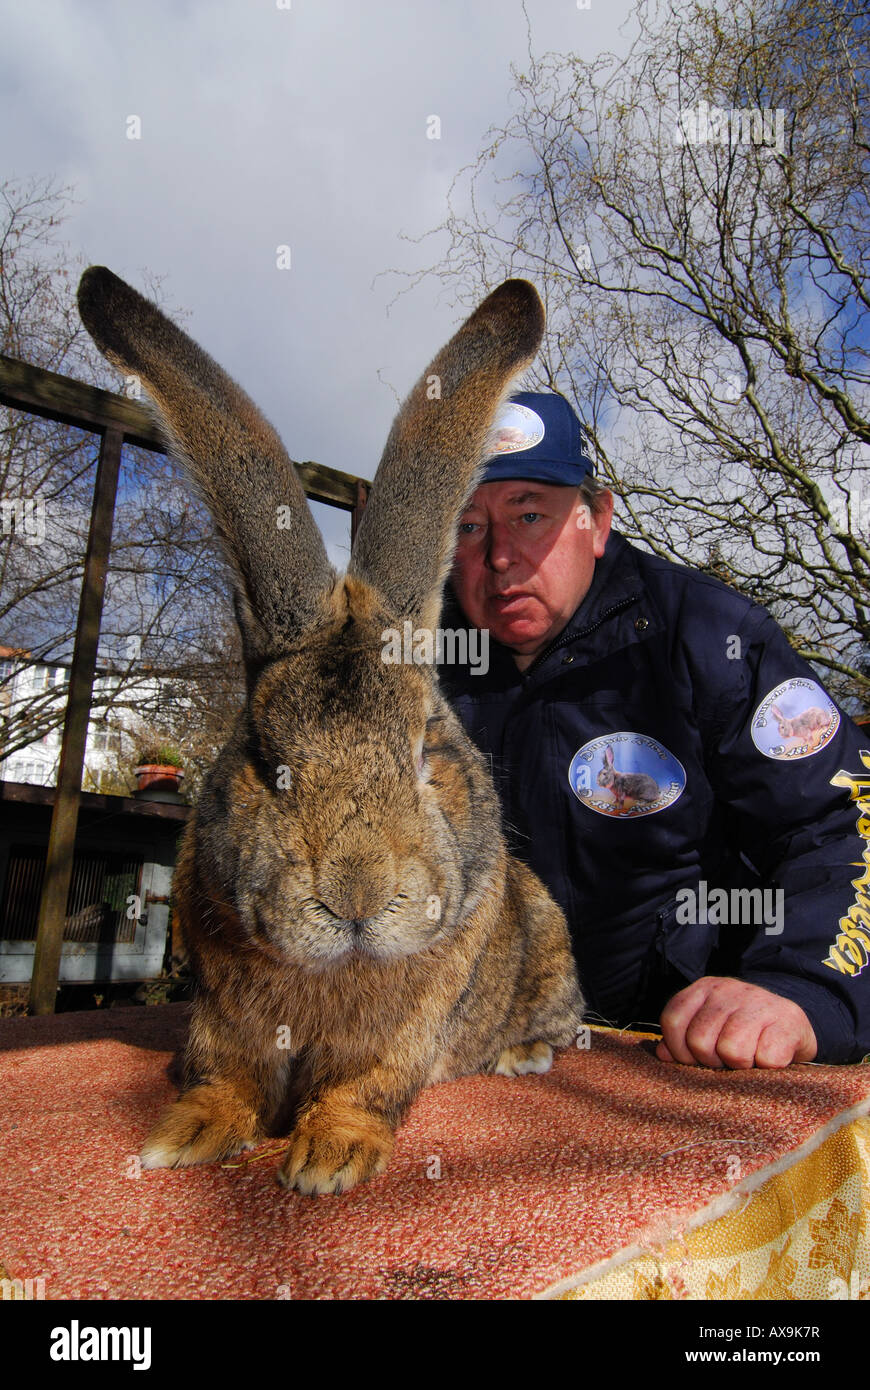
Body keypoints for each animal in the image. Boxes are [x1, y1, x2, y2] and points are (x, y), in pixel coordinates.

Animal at [76, 266, 585, 1196]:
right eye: (265, 759)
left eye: (427, 751)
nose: (356, 894)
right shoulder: (225, 1025)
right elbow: (227, 1079)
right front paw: (183, 1134)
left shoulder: (397, 1041)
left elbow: (362, 1087)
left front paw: (328, 1161)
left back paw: (523, 1055)